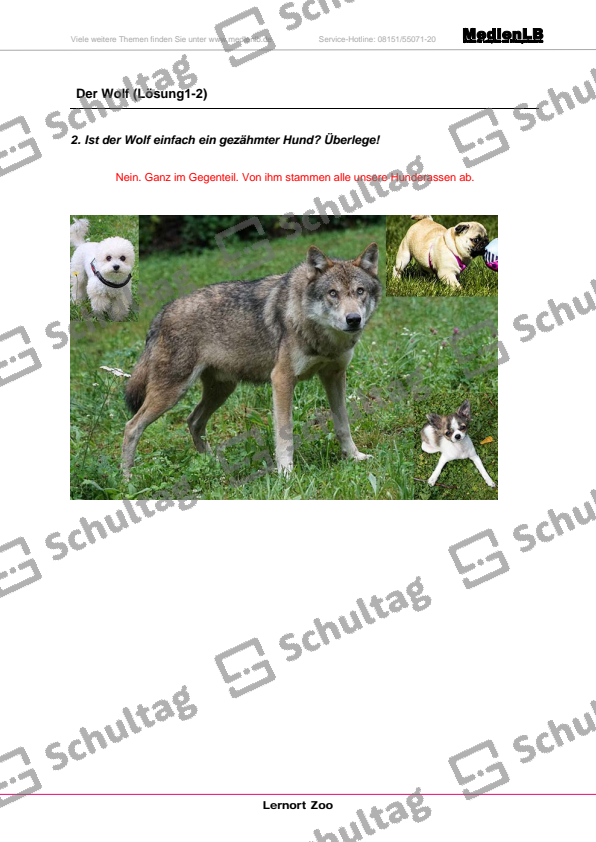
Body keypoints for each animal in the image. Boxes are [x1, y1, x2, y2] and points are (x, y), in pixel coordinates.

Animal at [122, 243, 381, 478]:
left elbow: (343, 424)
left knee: (193, 421)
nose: (353, 319)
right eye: (332, 293)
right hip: (172, 394)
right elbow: (285, 434)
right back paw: (127, 481)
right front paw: (286, 474)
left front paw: (354, 457)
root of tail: (161, 314)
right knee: (131, 427)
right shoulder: (282, 380)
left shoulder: (334, 375)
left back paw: (214, 466)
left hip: (221, 390)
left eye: (360, 291)